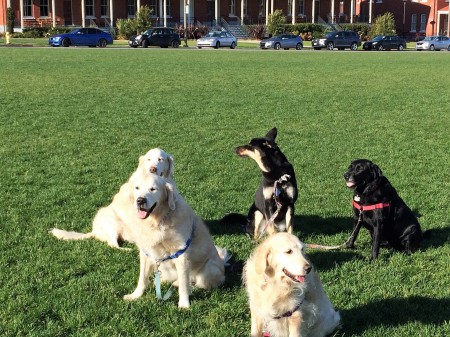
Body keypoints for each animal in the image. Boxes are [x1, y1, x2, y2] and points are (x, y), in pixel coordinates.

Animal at [120, 173, 229, 308]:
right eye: (137, 188)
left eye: (153, 189)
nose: (140, 200)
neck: (157, 221)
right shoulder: (146, 253)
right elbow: (142, 278)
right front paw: (135, 295)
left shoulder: (181, 254)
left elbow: (184, 283)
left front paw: (184, 304)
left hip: (209, 269)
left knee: (197, 283)